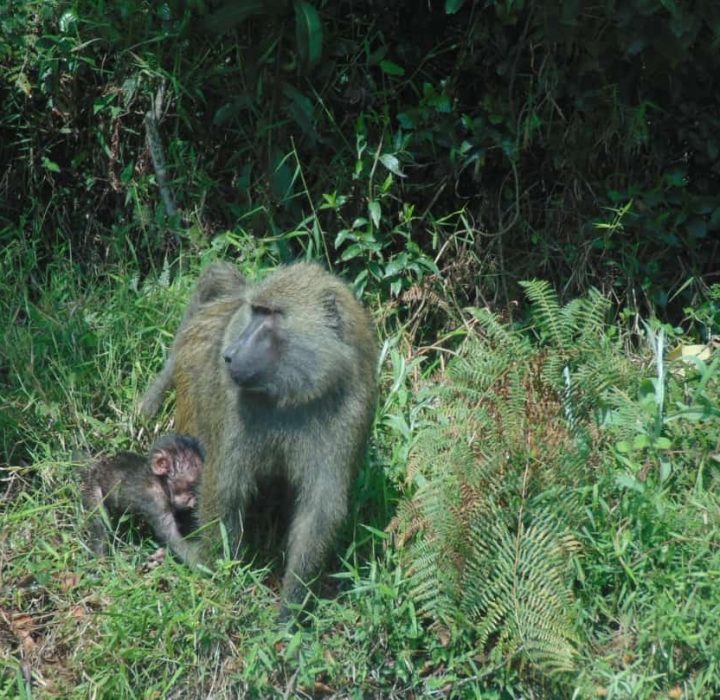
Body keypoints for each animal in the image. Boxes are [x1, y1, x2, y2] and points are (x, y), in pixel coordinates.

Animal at [81, 434, 205, 565]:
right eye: (192, 485)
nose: (193, 500)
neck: (160, 482)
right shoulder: (154, 501)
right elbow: (174, 539)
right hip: (91, 485)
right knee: (99, 522)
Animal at [139, 261, 378, 619]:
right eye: (255, 311)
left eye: (271, 314)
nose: (229, 355)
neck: (293, 395)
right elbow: (225, 490)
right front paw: (223, 581)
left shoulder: (349, 408)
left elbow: (318, 512)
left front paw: (290, 613)